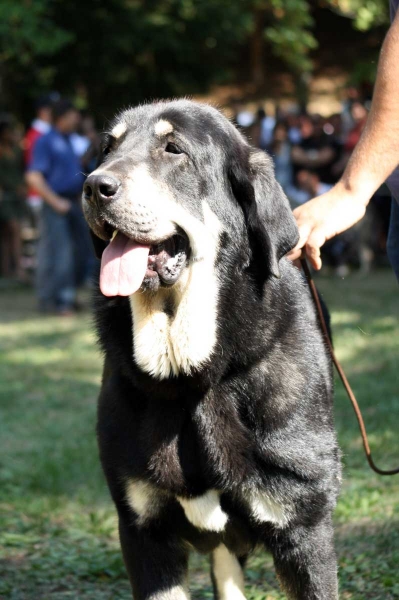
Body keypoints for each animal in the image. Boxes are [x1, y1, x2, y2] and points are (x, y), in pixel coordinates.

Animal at [83, 101, 342, 596]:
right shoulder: (143, 530)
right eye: (108, 148)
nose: (93, 186)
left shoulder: (305, 525)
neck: (192, 378)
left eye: (173, 149)